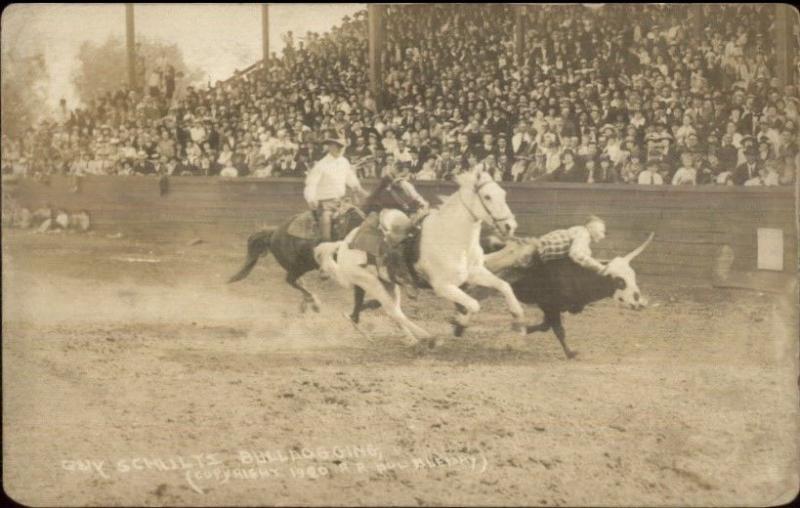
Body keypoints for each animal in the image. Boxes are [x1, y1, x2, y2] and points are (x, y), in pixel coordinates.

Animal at [228, 179, 422, 314]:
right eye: (401, 189)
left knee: (297, 281)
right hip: (297, 265)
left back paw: (307, 303)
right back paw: (314, 301)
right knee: (291, 280)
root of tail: (275, 232)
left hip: (301, 265)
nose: (422, 204)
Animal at [316, 167, 528, 346]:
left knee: (394, 312)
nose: (510, 226)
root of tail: (344, 244)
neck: (454, 239)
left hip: (390, 284)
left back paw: (411, 338)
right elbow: (473, 304)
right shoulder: (443, 287)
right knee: (395, 312)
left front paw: (518, 317)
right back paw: (428, 337)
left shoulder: (474, 272)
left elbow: (504, 286)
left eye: (503, 193)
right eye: (487, 196)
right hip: (371, 283)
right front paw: (459, 322)